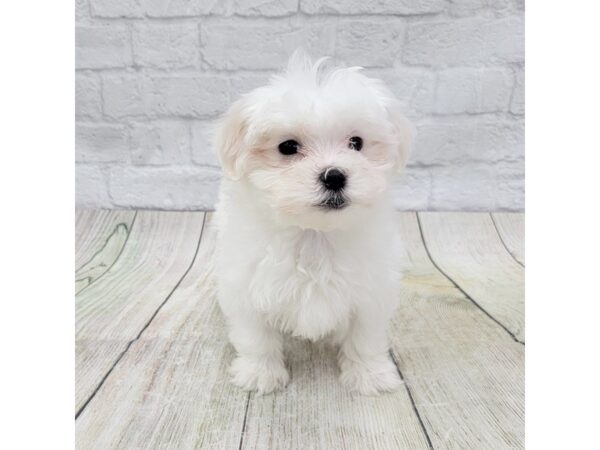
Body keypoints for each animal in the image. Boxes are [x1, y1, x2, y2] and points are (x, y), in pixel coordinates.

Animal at [213, 51, 414, 394]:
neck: (315, 234)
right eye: (288, 147)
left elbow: (365, 337)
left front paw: (369, 374)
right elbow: (256, 337)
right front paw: (260, 373)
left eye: (356, 143)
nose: (334, 176)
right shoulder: (245, 286)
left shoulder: (372, 290)